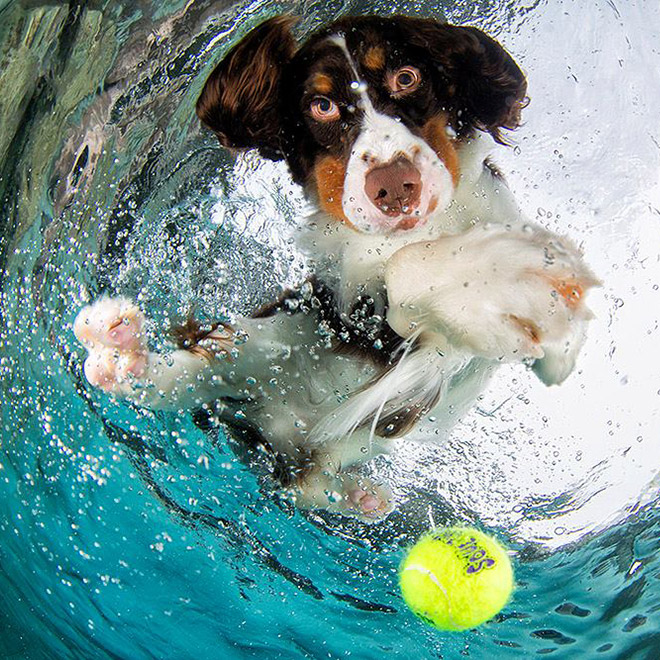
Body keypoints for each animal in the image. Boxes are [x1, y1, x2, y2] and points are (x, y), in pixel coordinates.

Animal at [72, 14, 600, 520]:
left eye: (407, 77)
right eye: (321, 106)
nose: (394, 186)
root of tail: (276, 430)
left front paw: (545, 311)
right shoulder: (358, 314)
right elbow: (405, 267)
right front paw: (512, 280)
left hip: (342, 439)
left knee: (305, 484)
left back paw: (358, 497)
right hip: (274, 335)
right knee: (194, 373)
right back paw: (121, 355)